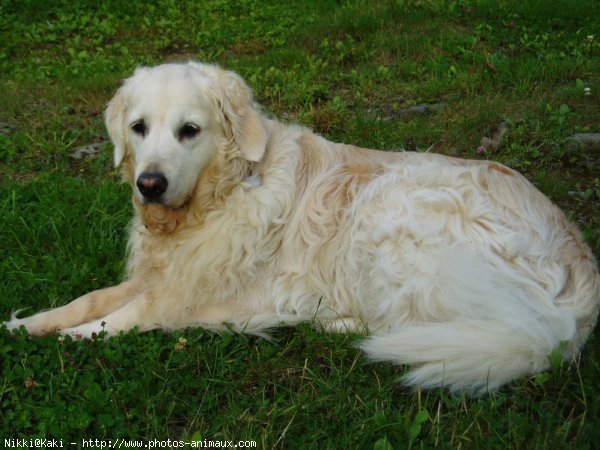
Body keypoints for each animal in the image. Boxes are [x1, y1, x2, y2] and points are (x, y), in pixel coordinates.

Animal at [5, 61, 600, 392]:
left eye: (189, 130)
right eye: (138, 127)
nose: (149, 184)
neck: (222, 194)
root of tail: (581, 271)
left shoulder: (184, 298)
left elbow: (121, 319)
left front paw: (68, 341)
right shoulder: (164, 275)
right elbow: (89, 298)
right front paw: (28, 323)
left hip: (392, 211)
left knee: (424, 323)